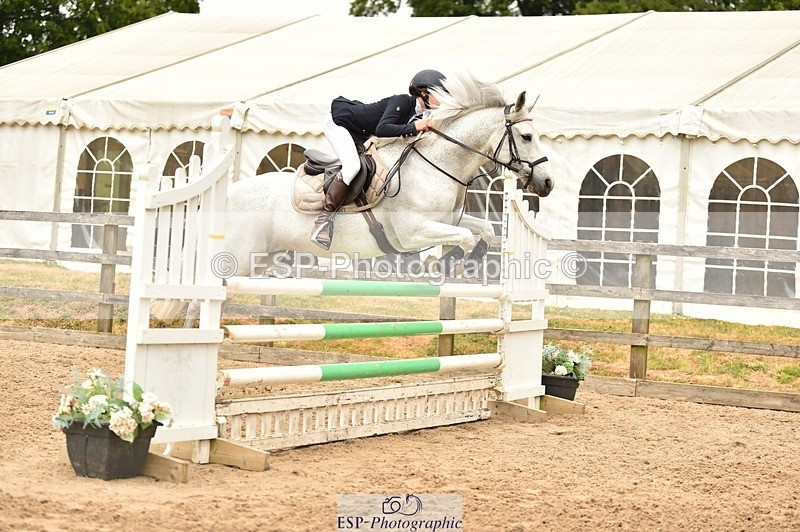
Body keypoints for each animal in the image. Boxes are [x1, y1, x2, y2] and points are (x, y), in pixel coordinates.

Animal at [224, 73, 555, 277]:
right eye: (526, 137)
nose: (548, 183)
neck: (435, 165)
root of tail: (230, 193)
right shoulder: (413, 231)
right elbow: (464, 238)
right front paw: (445, 264)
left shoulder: (446, 220)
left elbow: (484, 230)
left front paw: (470, 261)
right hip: (239, 255)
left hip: (262, 257)